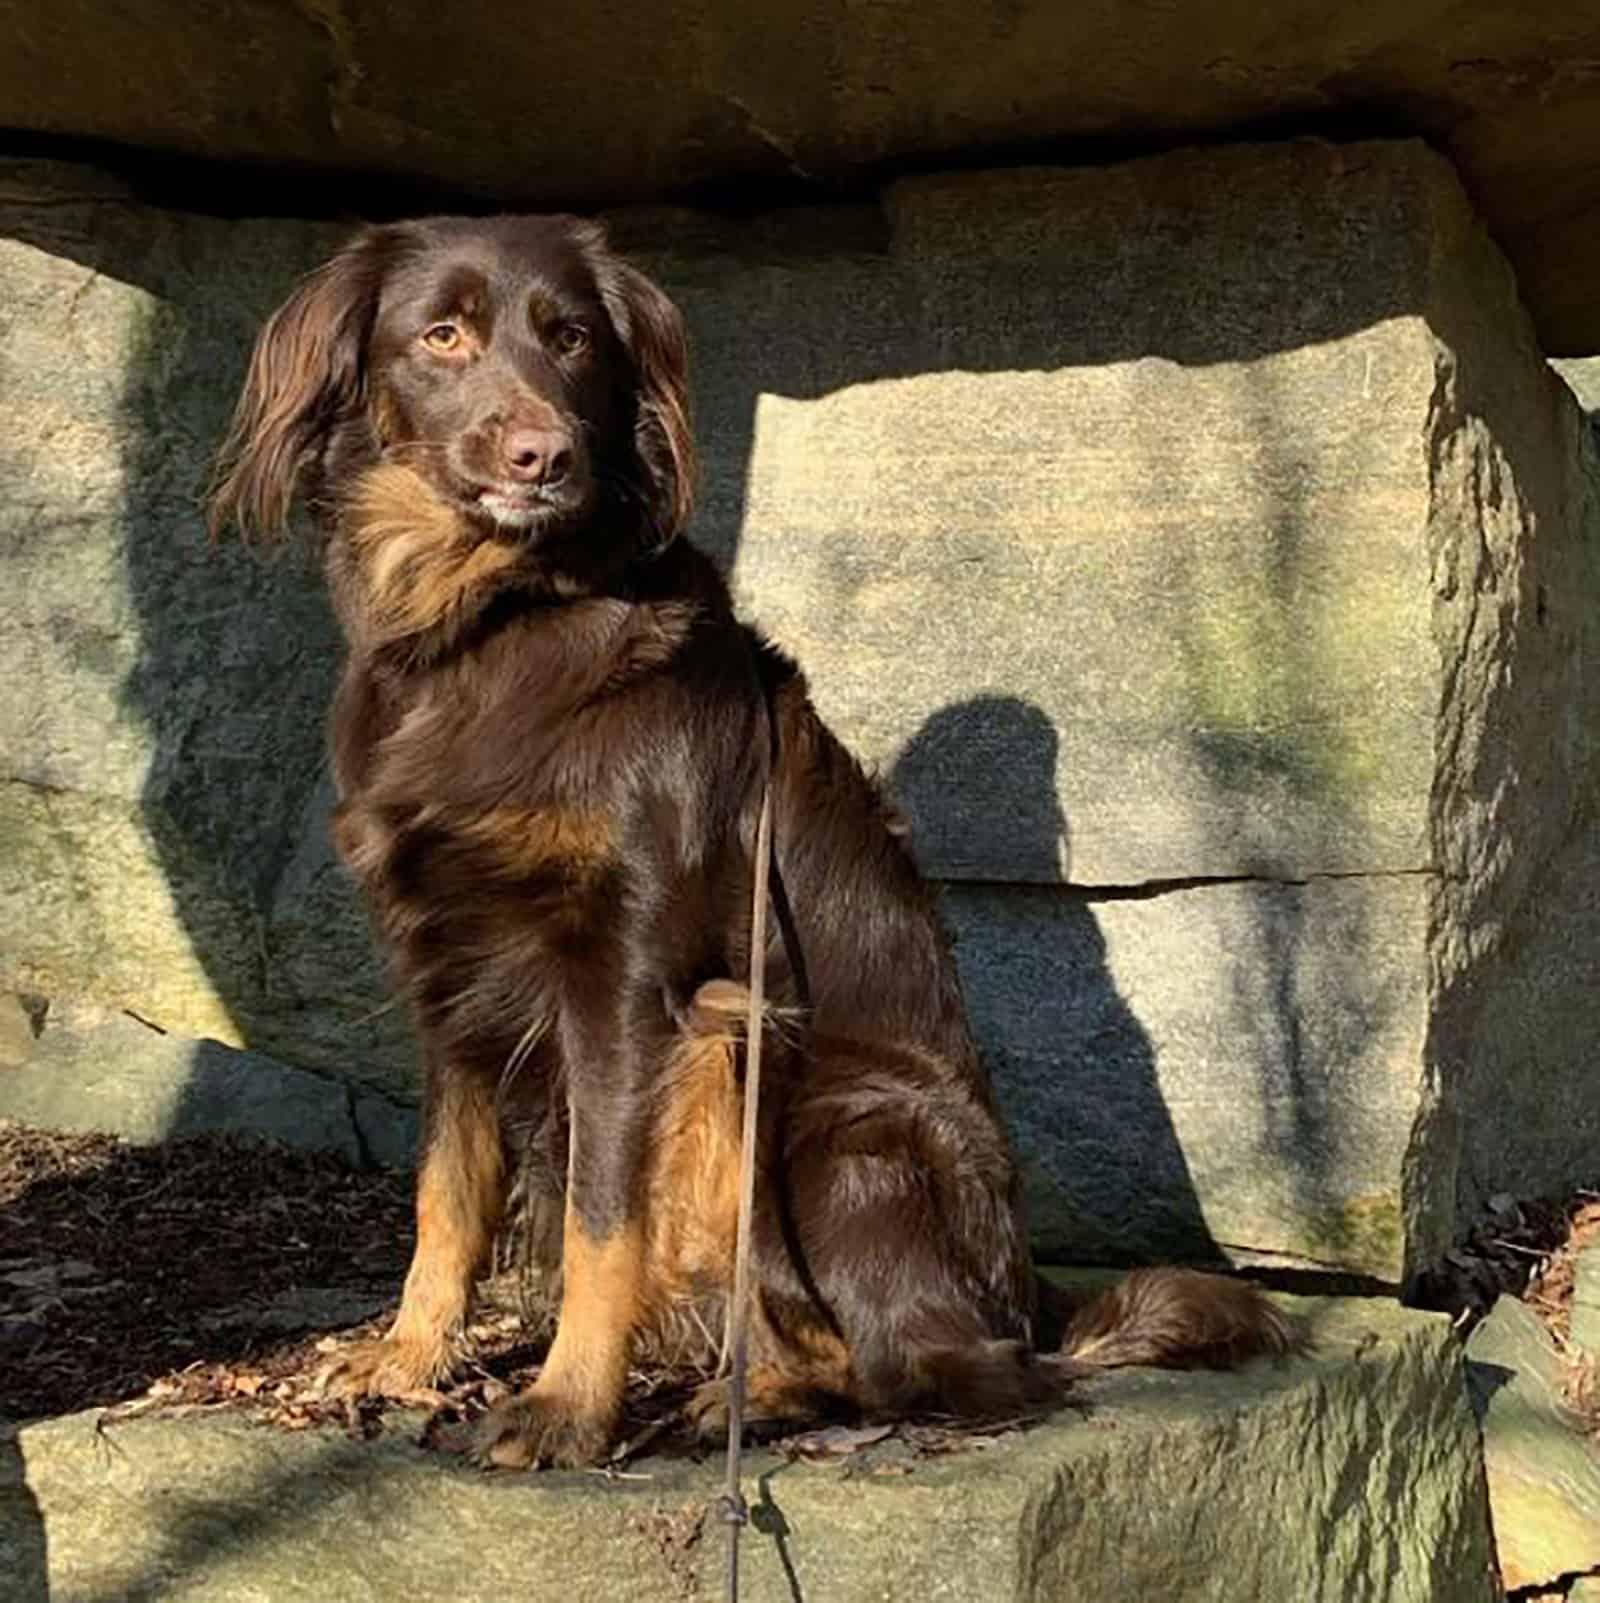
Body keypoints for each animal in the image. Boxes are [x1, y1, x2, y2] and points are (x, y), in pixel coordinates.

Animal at [206, 213, 1295, 1468]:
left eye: (572, 339)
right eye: (442, 335)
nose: (543, 456)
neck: (492, 620)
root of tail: (1026, 1299)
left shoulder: (627, 974)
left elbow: (602, 1213)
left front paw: (566, 1407)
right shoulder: (448, 970)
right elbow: (449, 1188)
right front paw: (408, 1354)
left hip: (801, 1091)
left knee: (931, 1366)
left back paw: (759, 1395)